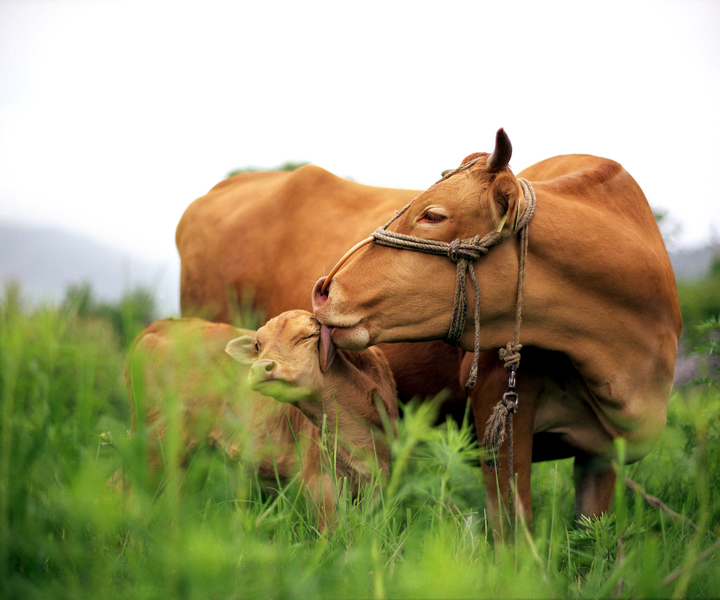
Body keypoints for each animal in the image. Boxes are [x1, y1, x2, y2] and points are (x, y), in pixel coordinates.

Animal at [121, 312, 396, 528]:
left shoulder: (377, 481)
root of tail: (161, 325)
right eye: (257, 345)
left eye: (307, 337)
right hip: (156, 443)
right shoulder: (320, 481)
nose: (260, 368)